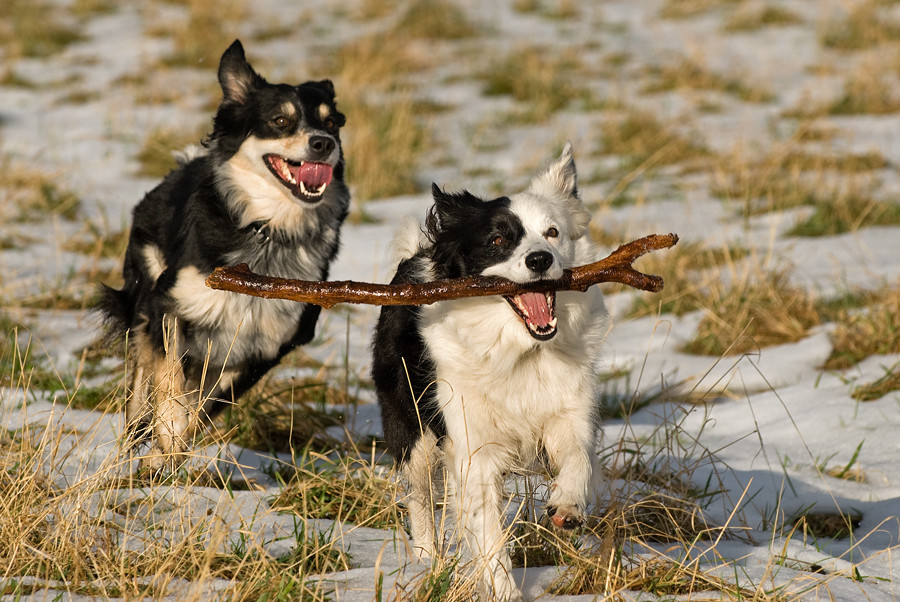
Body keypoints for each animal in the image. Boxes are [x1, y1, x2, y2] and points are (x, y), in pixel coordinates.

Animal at [99, 39, 348, 468]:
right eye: (279, 121)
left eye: (331, 123)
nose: (323, 144)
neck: (269, 232)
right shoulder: (169, 303)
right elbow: (169, 378)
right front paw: (168, 431)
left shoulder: (265, 347)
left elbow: (204, 409)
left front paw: (169, 451)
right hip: (144, 290)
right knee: (141, 390)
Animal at [372, 143, 612, 596]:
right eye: (498, 240)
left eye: (552, 232)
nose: (540, 259)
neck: (521, 352)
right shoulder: (471, 445)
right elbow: (486, 530)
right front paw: (503, 591)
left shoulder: (570, 411)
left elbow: (579, 458)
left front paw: (567, 506)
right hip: (412, 427)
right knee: (420, 496)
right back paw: (427, 563)